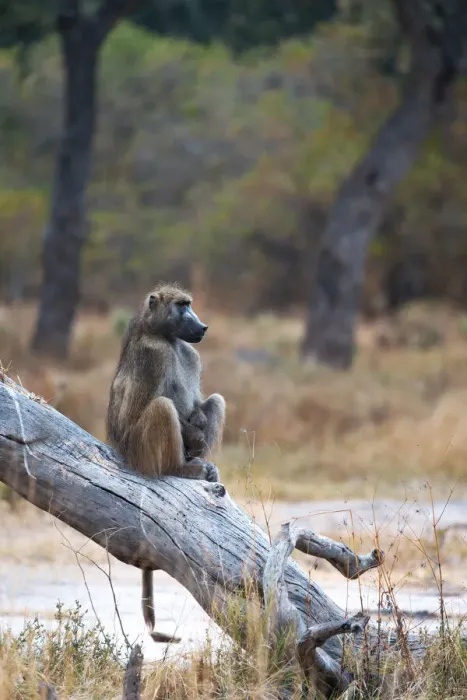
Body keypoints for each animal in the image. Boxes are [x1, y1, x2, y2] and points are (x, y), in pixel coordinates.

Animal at [106, 282, 225, 643]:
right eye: (181, 307)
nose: (202, 327)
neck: (166, 338)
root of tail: (125, 456)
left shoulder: (191, 354)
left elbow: (200, 404)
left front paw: (199, 425)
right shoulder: (154, 356)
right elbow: (145, 406)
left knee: (216, 401)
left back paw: (202, 464)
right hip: (142, 451)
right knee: (160, 407)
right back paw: (183, 469)